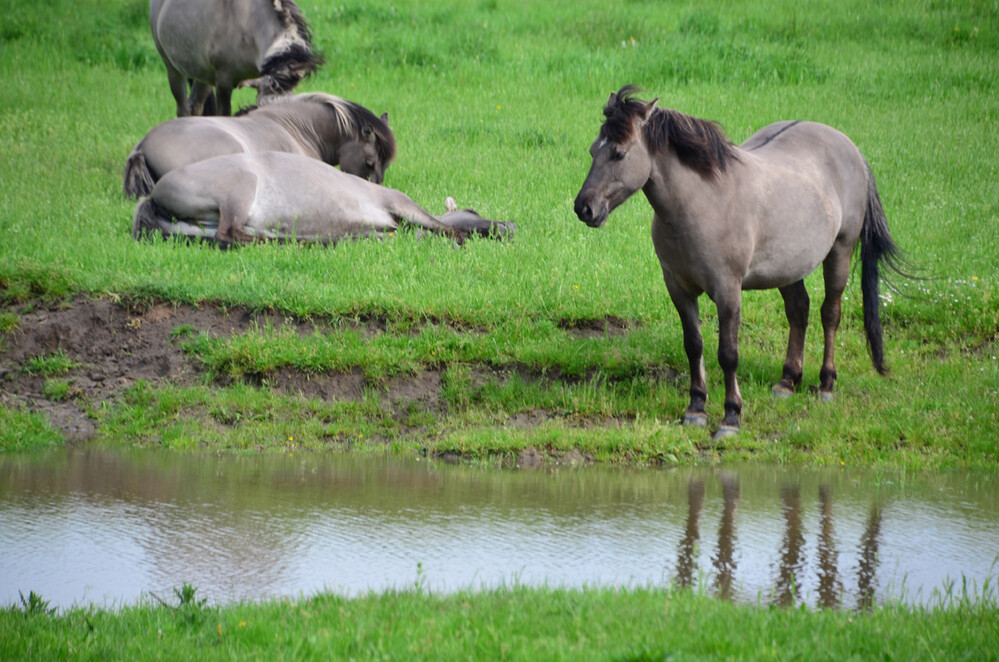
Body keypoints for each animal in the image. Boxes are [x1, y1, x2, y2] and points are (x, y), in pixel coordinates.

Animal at [132, 152, 516, 248]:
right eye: (472, 209)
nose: (509, 226)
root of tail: (154, 194)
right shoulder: (400, 204)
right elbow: (442, 227)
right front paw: (459, 238)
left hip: (203, 223)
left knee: (230, 234)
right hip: (240, 187)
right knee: (231, 233)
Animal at [572, 87, 908, 440]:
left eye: (619, 154)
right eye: (594, 150)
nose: (584, 208)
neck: (700, 203)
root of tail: (851, 149)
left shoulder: (728, 290)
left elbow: (728, 354)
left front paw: (731, 417)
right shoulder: (678, 289)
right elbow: (694, 345)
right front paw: (696, 408)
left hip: (840, 252)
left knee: (830, 314)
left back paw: (827, 384)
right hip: (789, 266)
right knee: (798, 311)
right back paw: (787, 382)